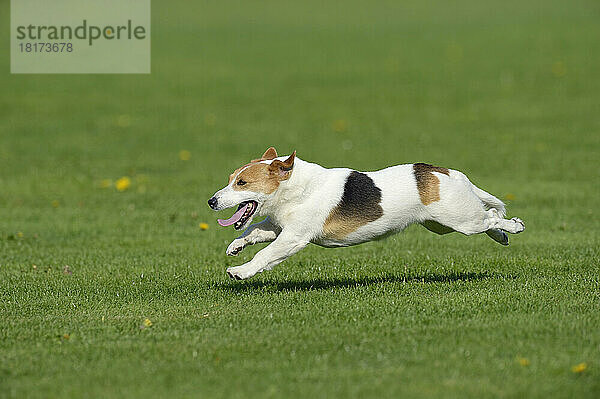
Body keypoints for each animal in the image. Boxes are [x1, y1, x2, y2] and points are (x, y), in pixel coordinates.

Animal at [207, 148, 524, 282]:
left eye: (242, 183)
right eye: (231, 179)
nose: (211, 201)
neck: (294, 185)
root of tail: (448, 173)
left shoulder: (293, 238)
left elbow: (264, 255)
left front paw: (240, 271)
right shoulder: (278, 226)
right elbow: (254, 231)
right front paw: (235, 246)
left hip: (460, 221)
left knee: (491, 216)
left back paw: (514, 226)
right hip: (441, 224)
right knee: (489, 220)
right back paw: (502, 236)